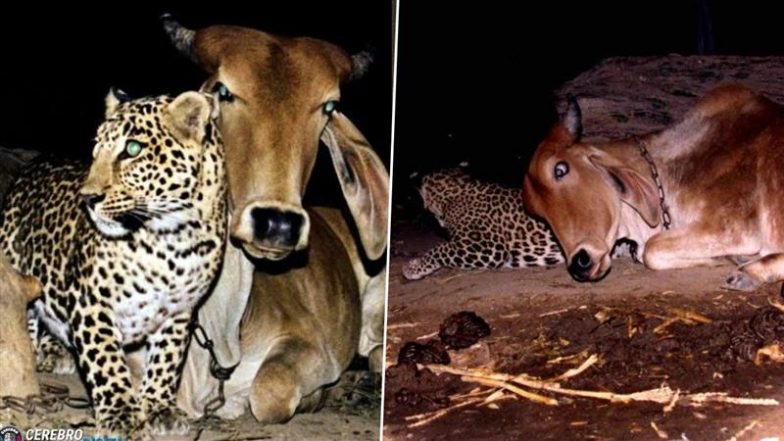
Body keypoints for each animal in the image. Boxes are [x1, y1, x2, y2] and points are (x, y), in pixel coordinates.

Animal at [0, 89, 227, 437]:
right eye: (96, 148)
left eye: (132, 149)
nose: (87, 198)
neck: (173, 238)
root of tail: (37, 161)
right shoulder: (92, 303)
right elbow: (106, 360)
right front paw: (121, 414)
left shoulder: (180, 309)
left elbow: (167, 358)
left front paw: (159, 407)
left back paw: (55, 350)